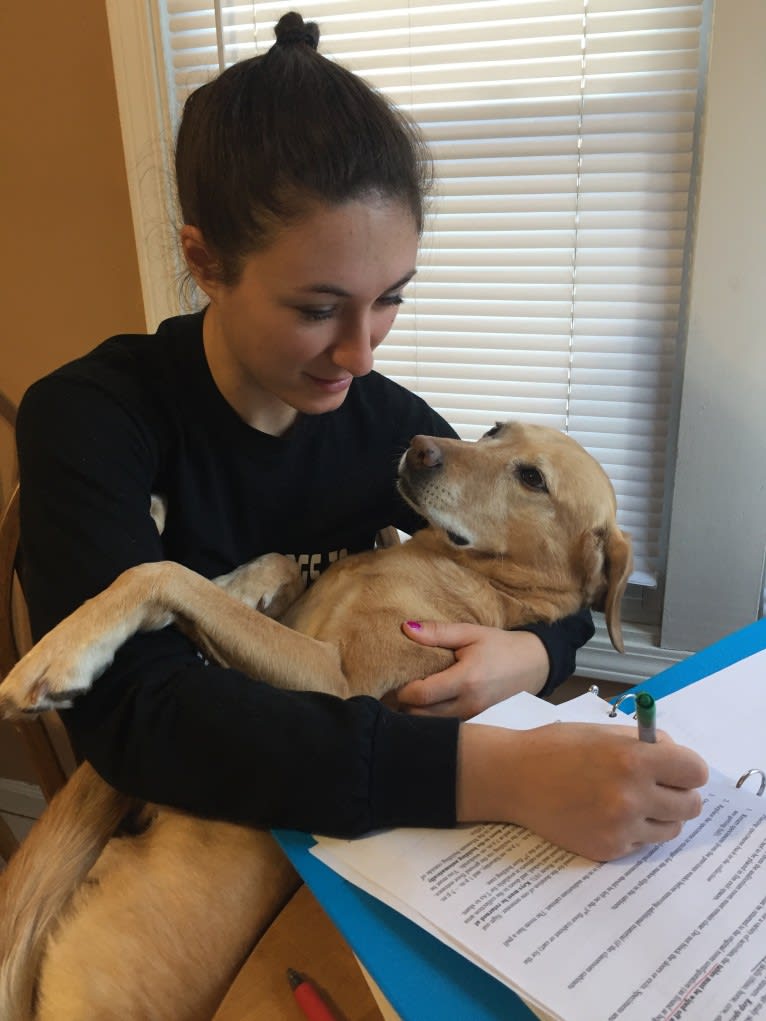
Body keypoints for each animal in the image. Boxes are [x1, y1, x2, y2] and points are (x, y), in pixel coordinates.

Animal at [0, 418, 637, 1016]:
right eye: (493, 431)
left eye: (532, 479)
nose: (419, 448)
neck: (457, 564)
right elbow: (270, 568)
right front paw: (239, 582)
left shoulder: (335, 681)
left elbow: (163, 576)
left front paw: (60, 653)